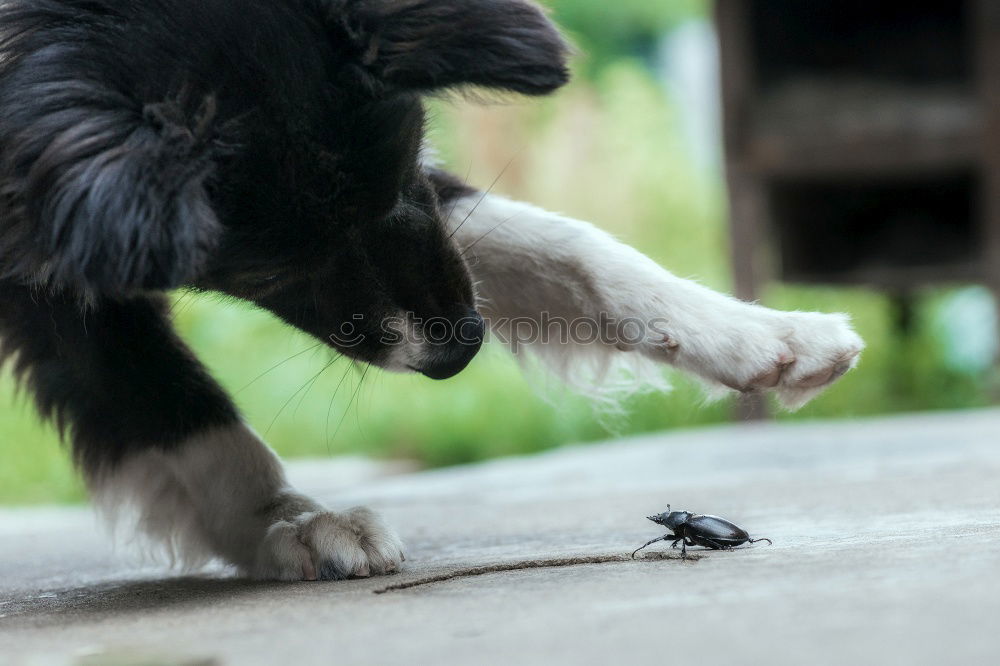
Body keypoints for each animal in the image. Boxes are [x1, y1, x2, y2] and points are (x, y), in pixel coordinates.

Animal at [0, 0, 860, 580]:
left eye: (406, 158)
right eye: (266, 271)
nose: (460, 353)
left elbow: (563, 247)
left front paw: (768, 336)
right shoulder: (68, 257)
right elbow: (175, 407)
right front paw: (287, 521)